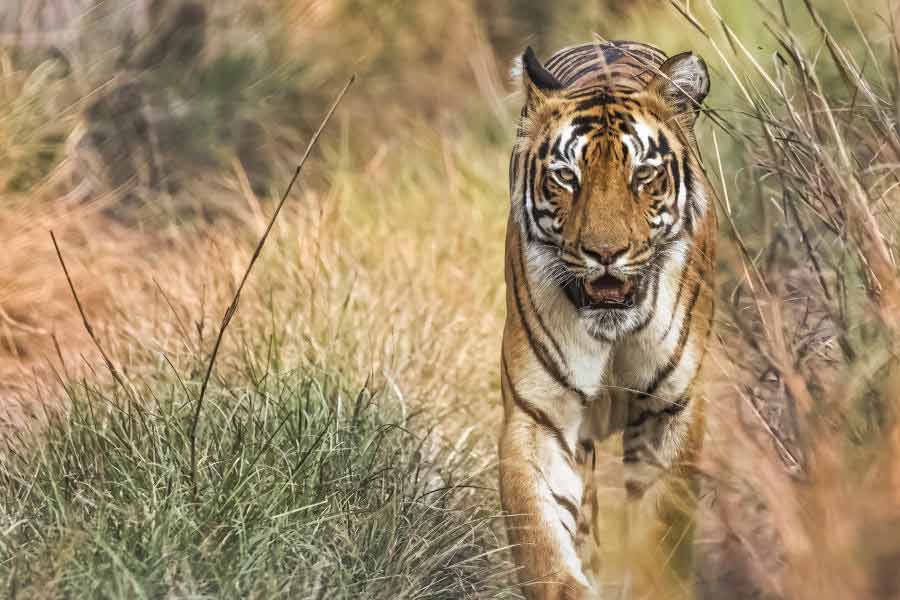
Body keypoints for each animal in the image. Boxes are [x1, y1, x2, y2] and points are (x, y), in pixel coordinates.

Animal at [500, 39, 716, 596]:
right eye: (565, 177)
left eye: (643, 175)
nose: (605, 253)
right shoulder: (539, 416)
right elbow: (542, 543)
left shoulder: (672, 409)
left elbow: (662, 530)